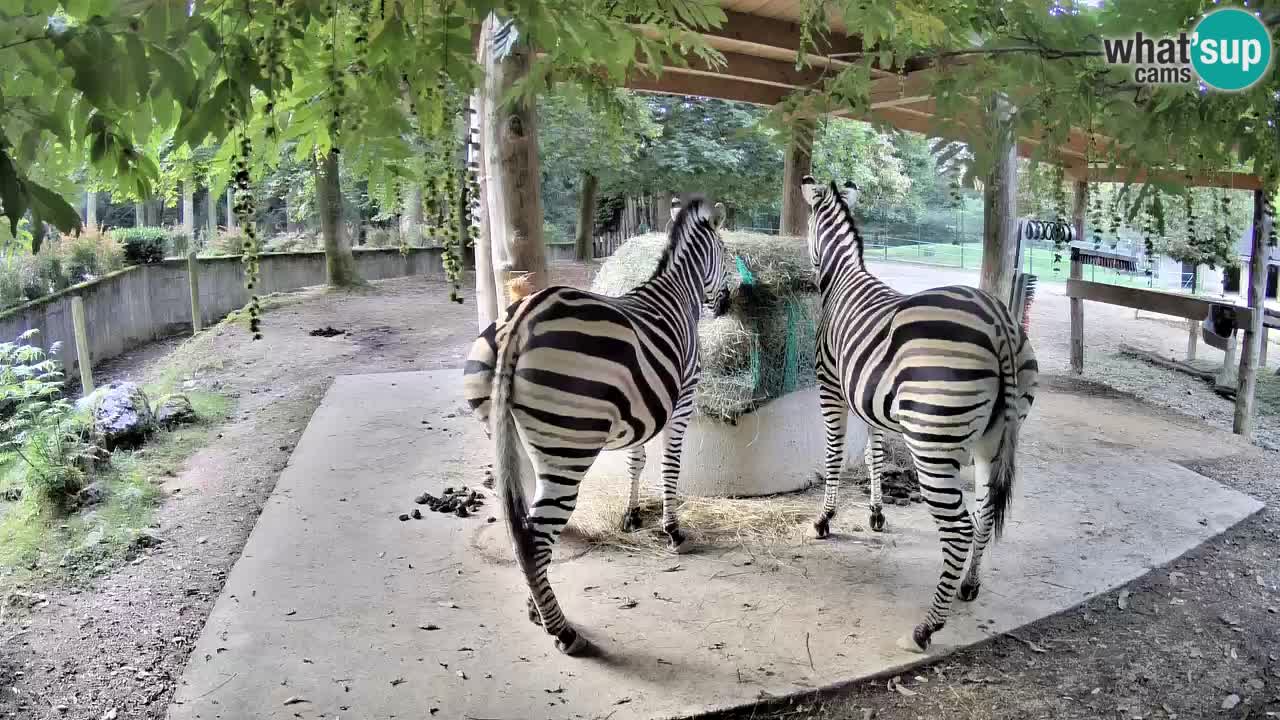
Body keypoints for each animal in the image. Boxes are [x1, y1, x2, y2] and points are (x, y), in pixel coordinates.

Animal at [468, 198, 732, 653]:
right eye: (729, 255)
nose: (728, 303)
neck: (678, 291)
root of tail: (523, 319)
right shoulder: (682, 400)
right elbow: (670, 467)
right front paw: (673, 531)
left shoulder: (641, 409)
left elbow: (637, 461)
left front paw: (632, 517)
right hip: (568, 448)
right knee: (535, 536)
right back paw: (561, 630)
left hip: (509, 438)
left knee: (522, 528)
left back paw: (538, 608)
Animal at [798, 174, 1039, 650]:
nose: (807, 273)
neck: (843, 277)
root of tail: (1000, 322)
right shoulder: (869, 401)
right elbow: (873, 454)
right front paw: (876, 514)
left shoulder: (831, 385)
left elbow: (834, 454)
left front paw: (825, 519)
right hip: (993, 439)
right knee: (985, 513)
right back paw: (969, 585)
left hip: (932, 441)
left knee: (959, 527)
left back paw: (927, 627)